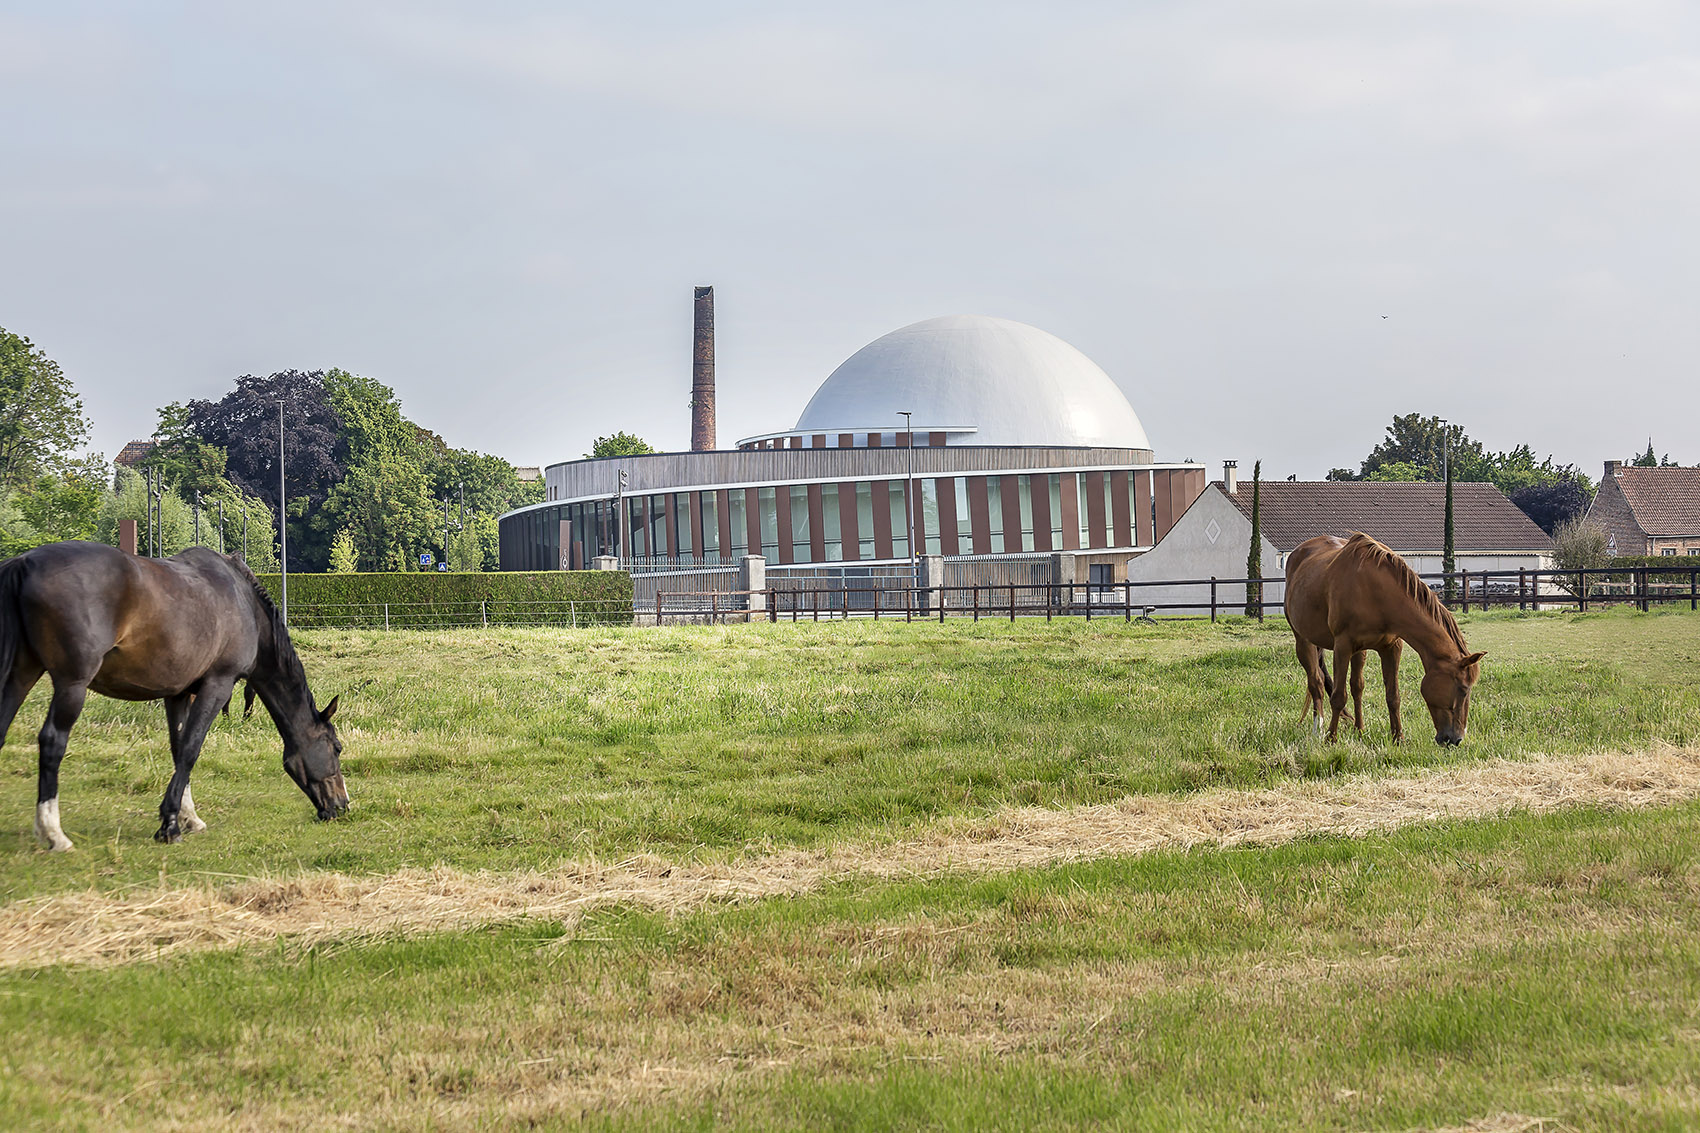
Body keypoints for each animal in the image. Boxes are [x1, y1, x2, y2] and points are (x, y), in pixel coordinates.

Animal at [0, 540, 345, 847]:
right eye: (337, 748)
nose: (342, 806)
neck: (245, 605)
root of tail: (25, 562)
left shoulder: (178, 694)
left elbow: (179, 750)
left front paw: (188, 818)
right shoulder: (217, 685)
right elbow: (192, 749)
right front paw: (169, 825)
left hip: (20, 675)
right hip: (71, 685)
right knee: (52, 742)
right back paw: (53, 833)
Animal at [1285, 534, 1489, 745]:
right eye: (1463, 689)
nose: (1456, 739)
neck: (1374, 590)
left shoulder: (1391, 647)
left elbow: (1393, 696)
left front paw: (1398, 737)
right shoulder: (1342, 646)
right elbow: (1338, 697)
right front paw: (1331, 739)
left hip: (1359, 651)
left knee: (1356, 686)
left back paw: (1359, 730)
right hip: (1304, 641)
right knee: (1316, 683)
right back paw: (1318, 730)